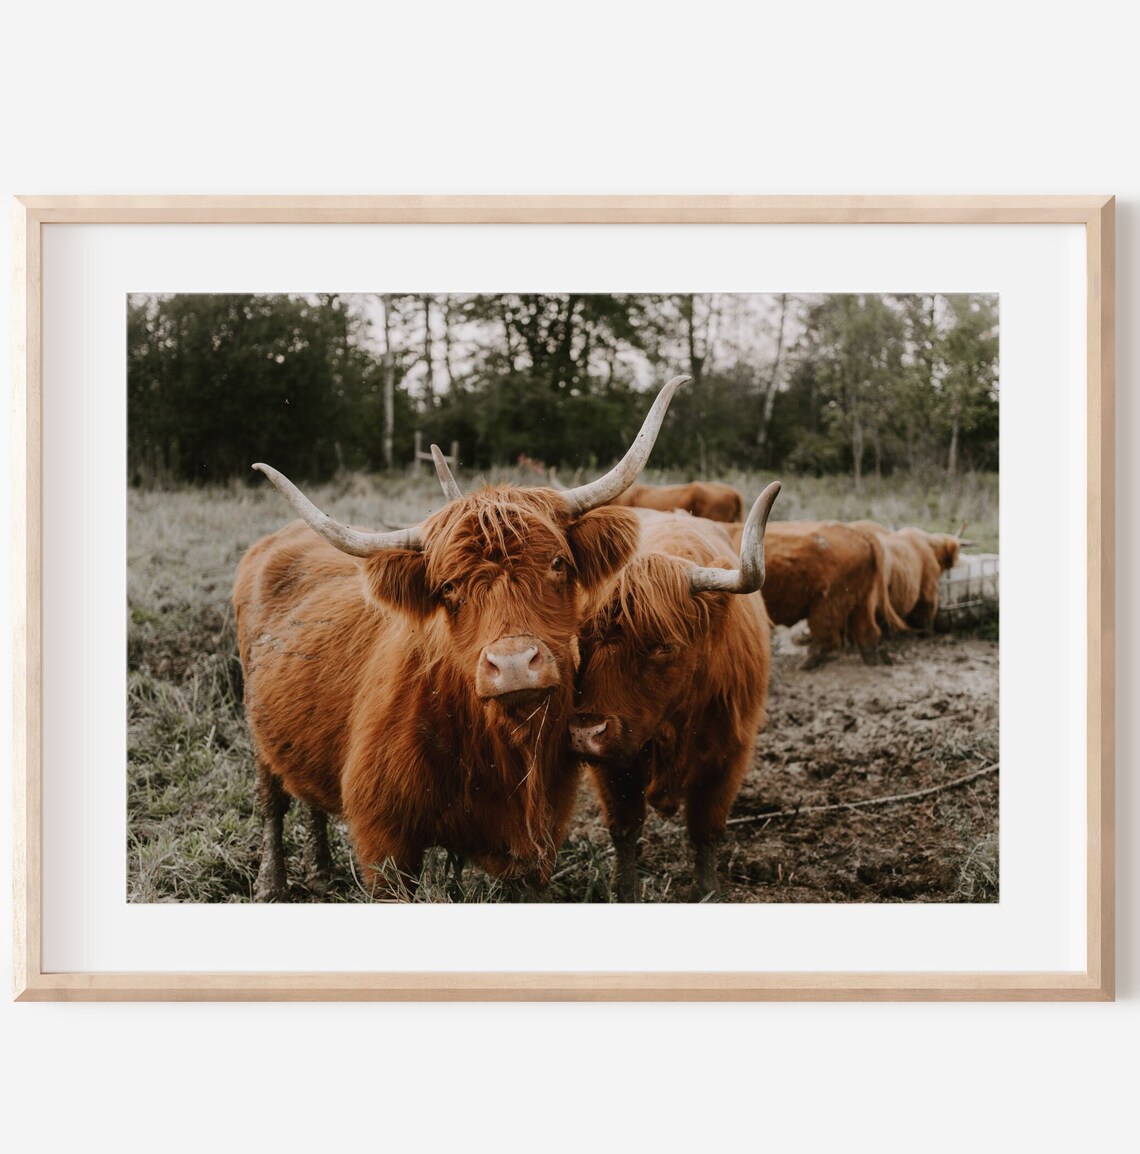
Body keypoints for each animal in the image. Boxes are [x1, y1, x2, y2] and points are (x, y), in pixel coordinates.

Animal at [234, 374, 688, 901]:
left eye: (558, 563)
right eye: (449, 587)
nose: (513, 664)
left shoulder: (540, 841)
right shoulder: (385, 841)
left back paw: (323, 869)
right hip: (257, 726)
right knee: (272, 798)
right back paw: (271, 884)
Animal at [726, 519, 906, 668]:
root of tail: (861, 534)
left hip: (828, 602)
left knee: (827, 637)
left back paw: (807, 663)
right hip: (861, 602)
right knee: (867, 631)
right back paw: (871, 660)